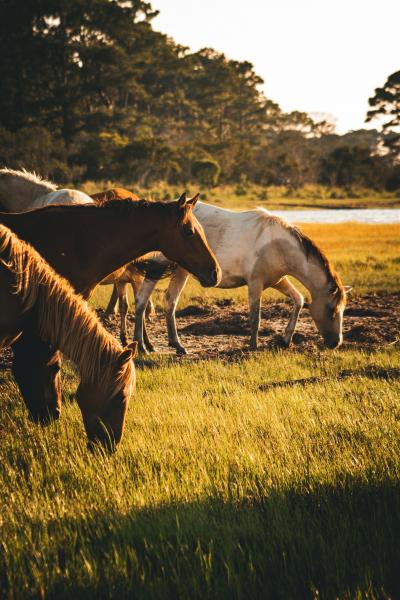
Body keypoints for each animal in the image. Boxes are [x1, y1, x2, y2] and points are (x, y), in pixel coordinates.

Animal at [130, 202, 350, 354]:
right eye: (332, 311)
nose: (336, 343)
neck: (276, 243)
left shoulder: (278, 281)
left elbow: (299, 300)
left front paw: (285, 339)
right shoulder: (255, 283)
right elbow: (255, 317)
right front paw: (253, 346)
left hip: (179, 271)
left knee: (165, 302)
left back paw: (170, 345)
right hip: (161, 269)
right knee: (146, 301)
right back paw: (142, 346)